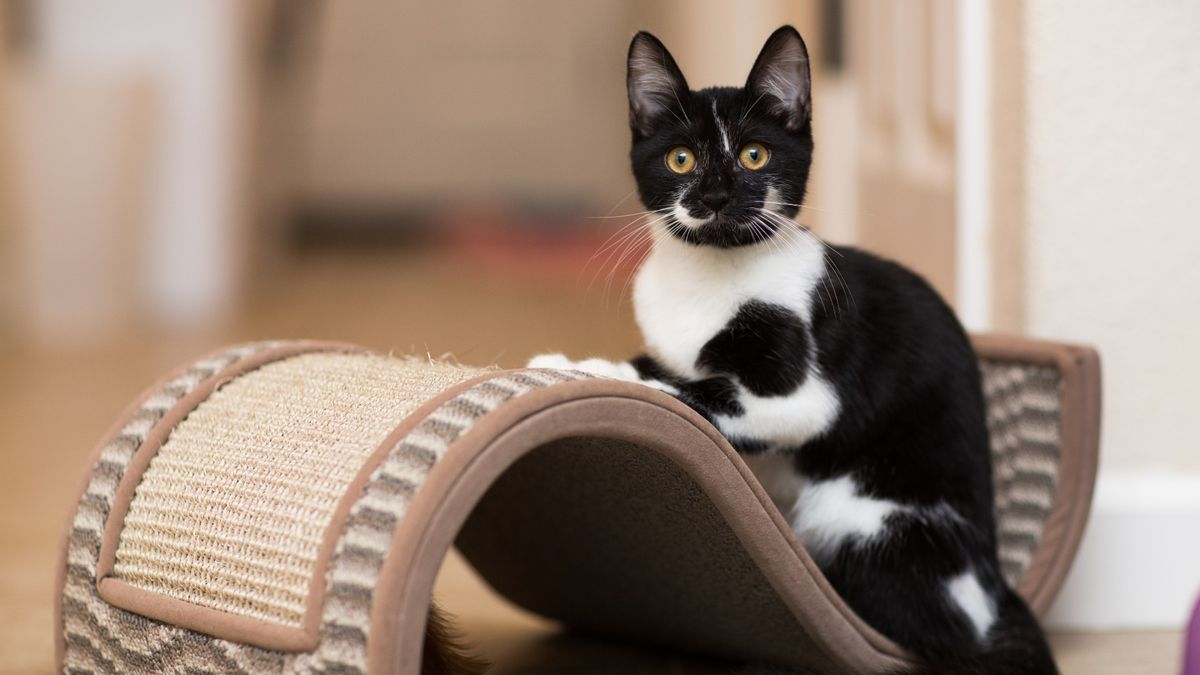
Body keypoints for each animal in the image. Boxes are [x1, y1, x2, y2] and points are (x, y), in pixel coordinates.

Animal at [530, 26, 1056, 672]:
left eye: (754, 155)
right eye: (681, 158)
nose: (716, 195)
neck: (710, 275)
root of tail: (994, 591)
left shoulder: (808, 393)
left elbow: (690, 389)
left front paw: (590, 372)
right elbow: (663, 363)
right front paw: (570, 363)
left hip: (864, 523)